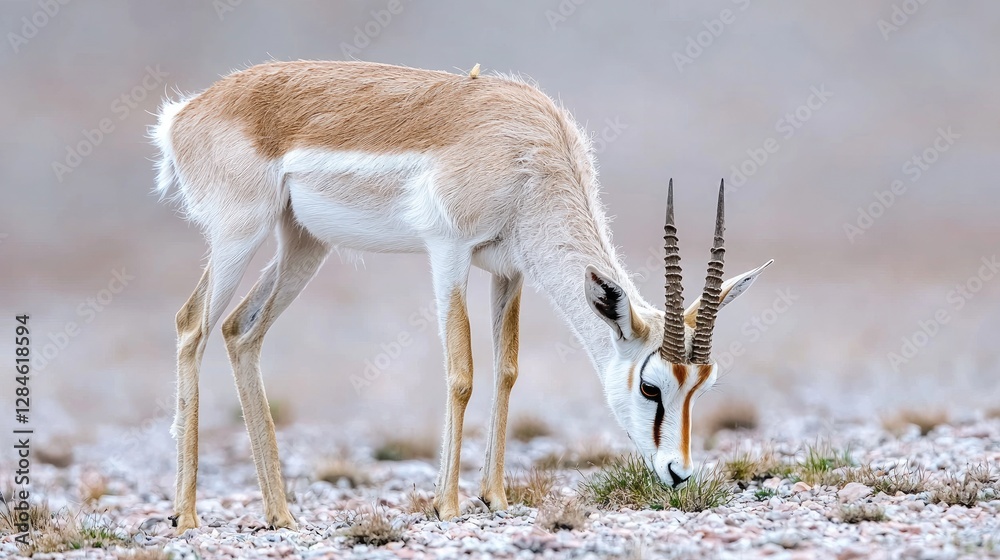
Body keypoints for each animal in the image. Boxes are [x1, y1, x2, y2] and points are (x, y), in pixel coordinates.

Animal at [150, 60, 772, 531]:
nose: (677, 473)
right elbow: (462, 371)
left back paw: (279, 515)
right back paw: (187, 516)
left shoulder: (509, 270)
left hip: (303, 243)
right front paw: (445, 505)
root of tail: (186, 113)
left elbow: (507, 370)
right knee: (190, 325)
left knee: (240, 331)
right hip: (239, 235)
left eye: (703, 384)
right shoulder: (447, 251)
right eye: (650, 385)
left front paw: (494, 497)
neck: (527, 151)